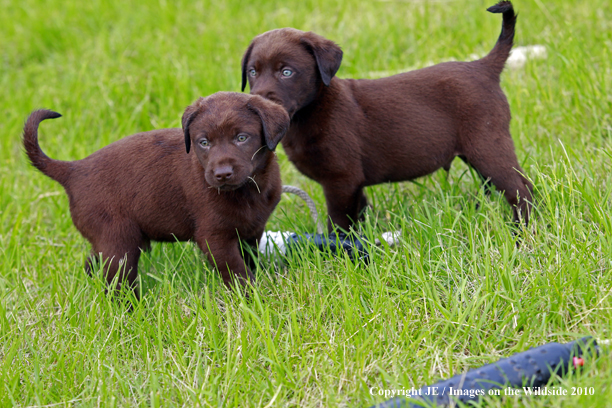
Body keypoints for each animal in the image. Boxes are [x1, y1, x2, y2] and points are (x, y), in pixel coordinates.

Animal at [23, 93, 290, 296]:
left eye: (241, 138)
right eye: (203, 142)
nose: (221, 174)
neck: (248, 189)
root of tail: (74, 170)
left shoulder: (252, 230)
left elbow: (249, 259)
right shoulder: (214, 237)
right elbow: (237, 272)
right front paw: (252, 298)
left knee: (94, 264)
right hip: (117, 240)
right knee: (117, 284)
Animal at [241, 0, 532, 231]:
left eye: (286, 72)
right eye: (253, 72)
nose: (259, 99)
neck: (311, 111)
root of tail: (483, 66)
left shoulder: (340, 180)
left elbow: (339, 223)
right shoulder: (353, 185)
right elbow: (357, 216)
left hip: (488, 145)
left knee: (521, 189)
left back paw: (522, 232)